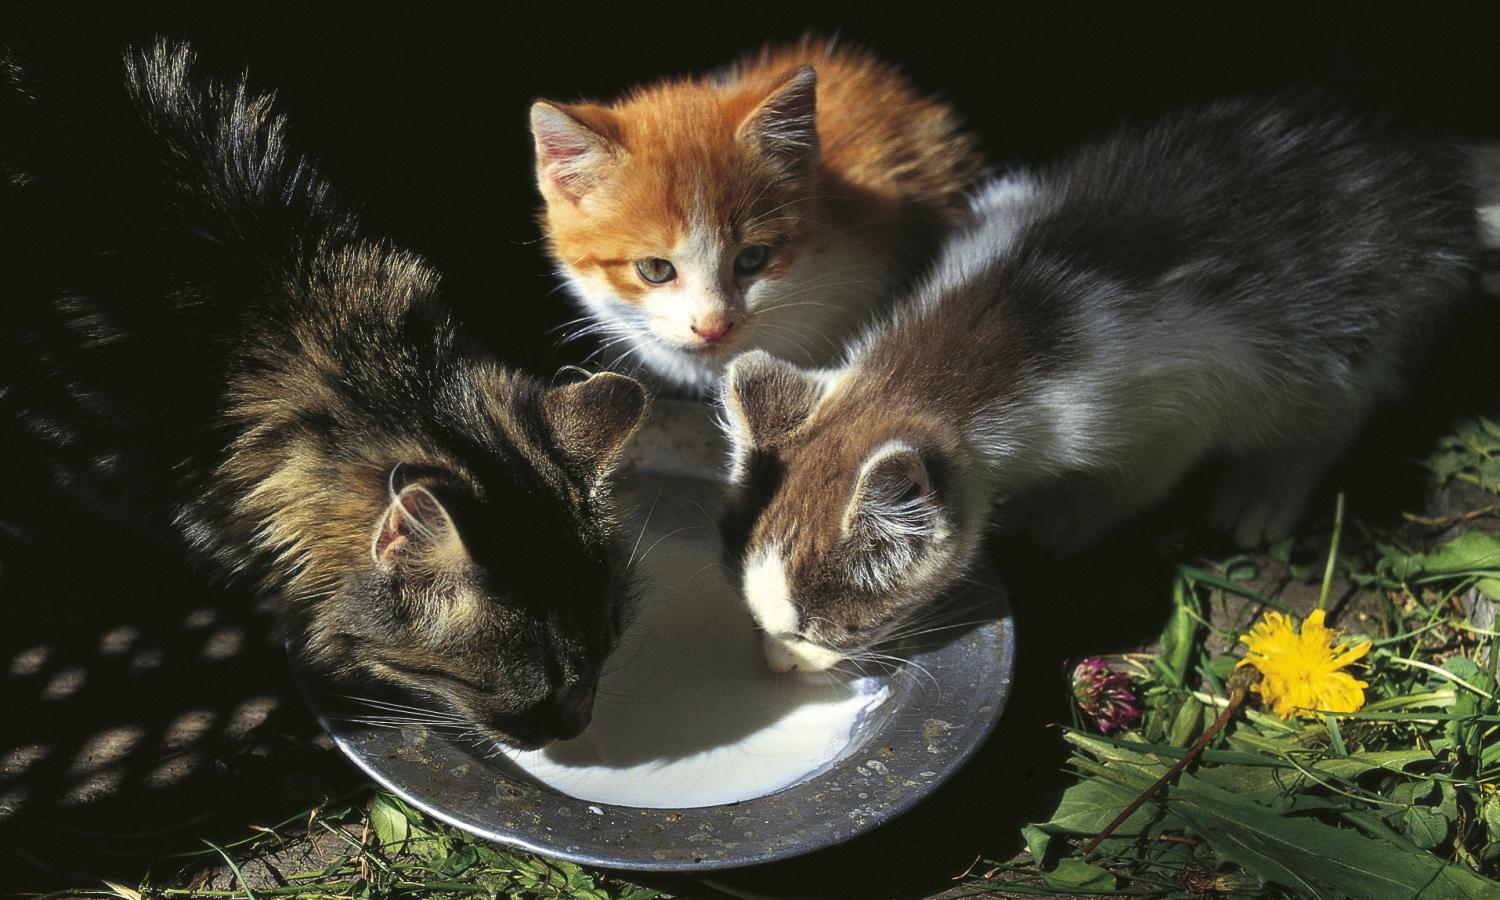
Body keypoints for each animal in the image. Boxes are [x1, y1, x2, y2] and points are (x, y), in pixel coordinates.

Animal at [720, 98, 1482, 672]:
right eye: (754, 617)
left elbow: (1144, 472)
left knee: (1337, 404)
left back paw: (1266, 490)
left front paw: (1068, 514)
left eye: (814, 634)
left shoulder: (1179, 387)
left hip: (1347, 321)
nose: (778, 665)